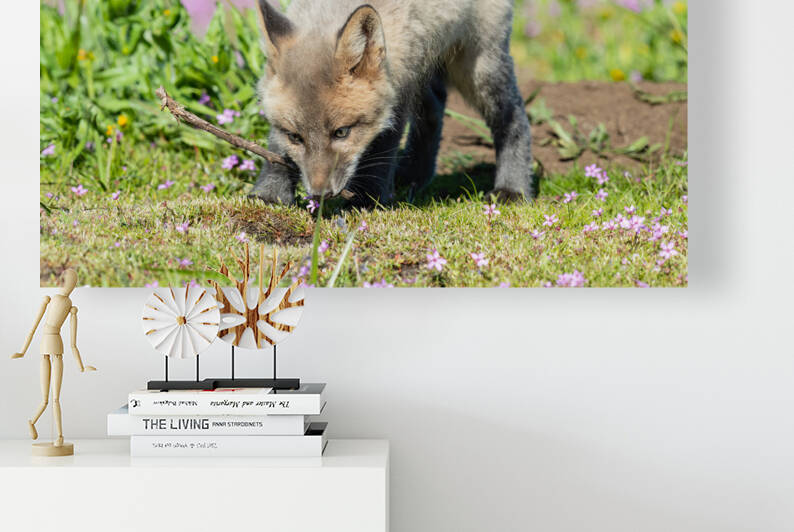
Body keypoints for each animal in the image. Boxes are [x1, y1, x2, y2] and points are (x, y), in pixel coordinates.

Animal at [249, 0, 534, 206]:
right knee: (434, 107)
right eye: (295, 137)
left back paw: (513, 188)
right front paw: (270, 193)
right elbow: (276, 149)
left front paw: (366, 200)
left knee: (515, 116)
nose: (320, 195)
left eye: (341, 132)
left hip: (478, 66)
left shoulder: (400, 83)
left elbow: (381, 148)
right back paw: (414, 175)